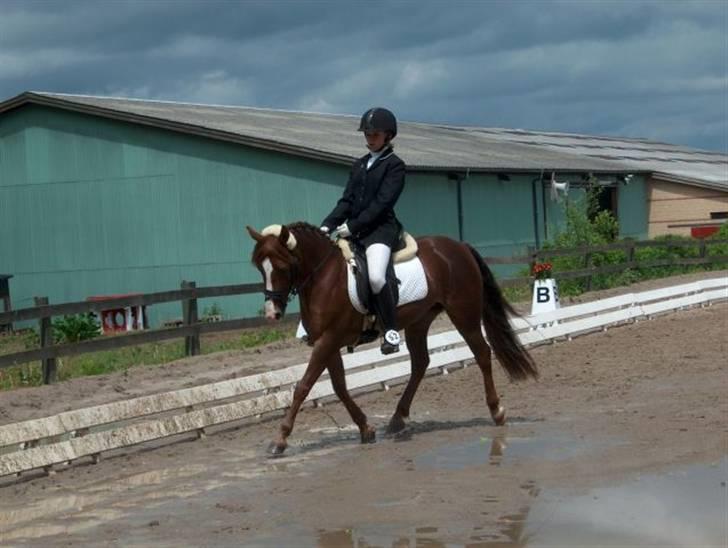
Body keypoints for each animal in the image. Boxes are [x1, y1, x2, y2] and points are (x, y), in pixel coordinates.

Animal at [247, 223, 536, 454]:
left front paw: (279, 440)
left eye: (282, 266)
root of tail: (458, 246)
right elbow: (339, 387)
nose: (272, 314)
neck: (324, 277)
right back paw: (397, 420)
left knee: (482, 353)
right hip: (420, 320)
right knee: (420, 363)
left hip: (463, 314)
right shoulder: (328, 342)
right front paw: (366, 429)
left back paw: (497, 411)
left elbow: (303, 387)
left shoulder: (329, 339)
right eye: (259, 268)